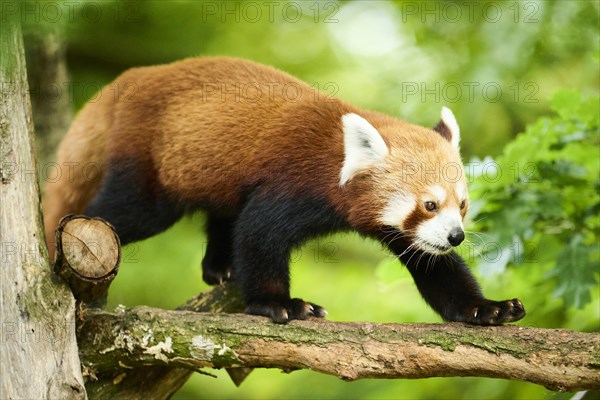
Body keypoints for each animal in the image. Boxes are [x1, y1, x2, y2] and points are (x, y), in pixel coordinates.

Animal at [44, 57, 524, 324]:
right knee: (127, 211)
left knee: (224, 214)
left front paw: (487, 308)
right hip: (148, 162)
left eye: (462, 205)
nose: (456, 236)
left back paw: (220, 267)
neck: (337, 160)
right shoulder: (291, 181)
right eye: (429, 204)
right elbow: (259, 235)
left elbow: (437, 271)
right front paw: (281, 305)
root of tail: (133, 78)